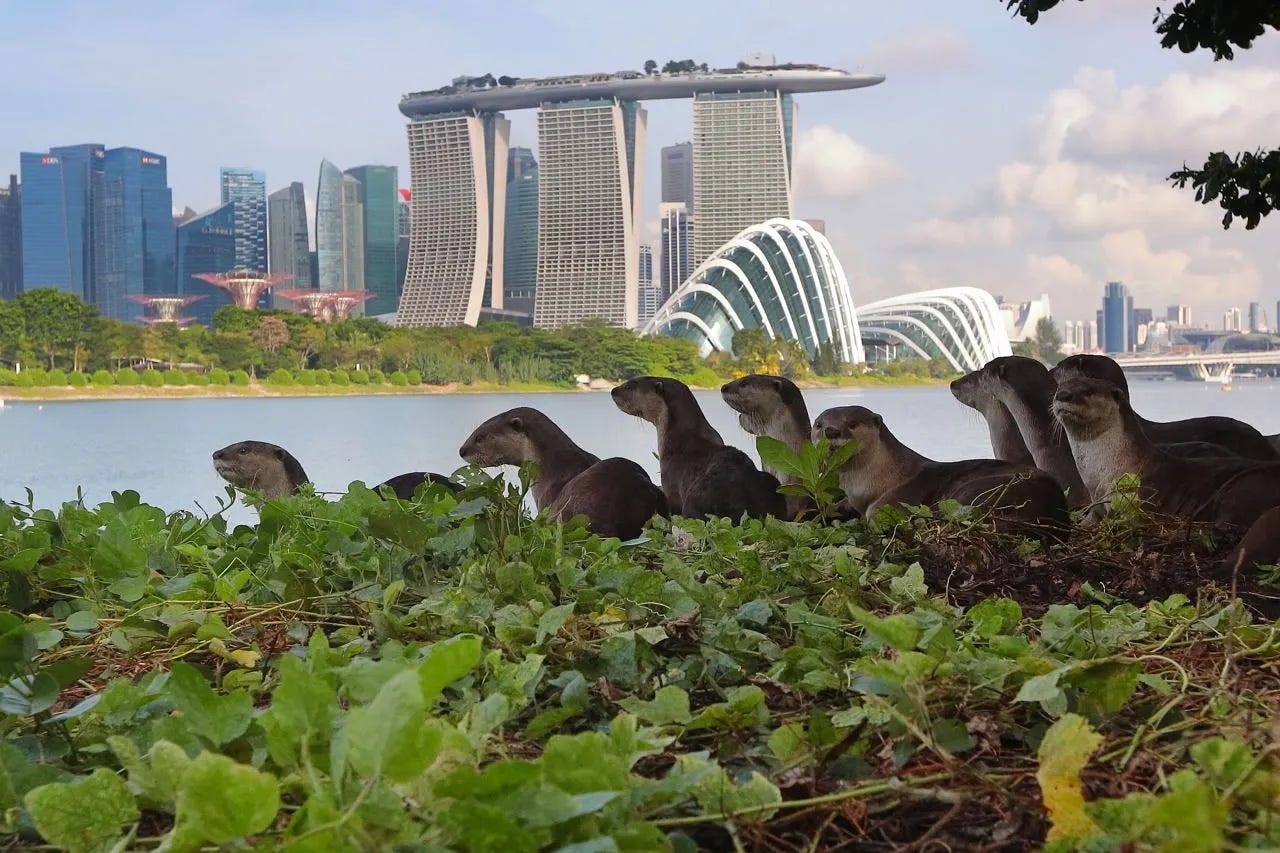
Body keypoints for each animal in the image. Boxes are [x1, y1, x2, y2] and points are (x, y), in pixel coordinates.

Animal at [612, 376, 786, 521]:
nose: (613, 390)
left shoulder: (669, 483)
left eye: (630, 386)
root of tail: (741, 495)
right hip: (774, 485)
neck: (678, 438)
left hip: (697, 497)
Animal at [813, 405, 1069, 545]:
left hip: (974, 492)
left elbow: (874, 514)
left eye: (852, 423)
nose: (831, 430)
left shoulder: (892, 501)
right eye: (818, 424)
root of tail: (1051, 511)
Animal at [1051, 377, 1280, 530]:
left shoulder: (1136, 502)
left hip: (1246, 486)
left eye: (1088, 391)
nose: (1063, 395)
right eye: (1059, 388)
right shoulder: (1096, 507)